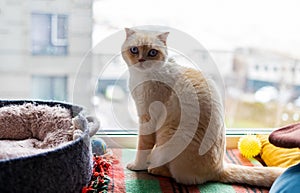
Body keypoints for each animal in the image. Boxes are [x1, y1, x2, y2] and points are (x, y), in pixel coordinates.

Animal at [120, 27, 284, 188]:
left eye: (152, 52)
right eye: (134, 50)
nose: (141, 60)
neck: (140, 77)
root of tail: (219, 168)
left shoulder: (147, 119)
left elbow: (142, 147)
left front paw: (136, 166)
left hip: (169, 137)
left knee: (174, 175)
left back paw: (154, 168)